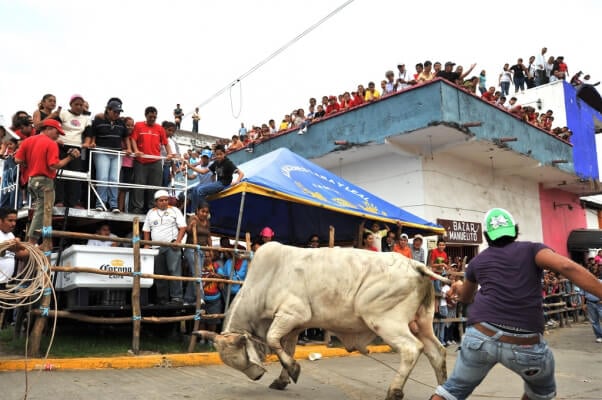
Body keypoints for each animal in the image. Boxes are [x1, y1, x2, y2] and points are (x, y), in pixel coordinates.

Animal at [197, 241, 446, 400]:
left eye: (242, 357)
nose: (257, 376)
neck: (266, 281)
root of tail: (415, 265)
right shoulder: (293, 326)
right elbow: (285, 348)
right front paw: (282, 379)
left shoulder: (291, 314)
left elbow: (273, 340)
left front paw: (294, 370)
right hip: (422, 323)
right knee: (437, 352)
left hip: (386, 322)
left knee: (412, 349)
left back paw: (394, 392)